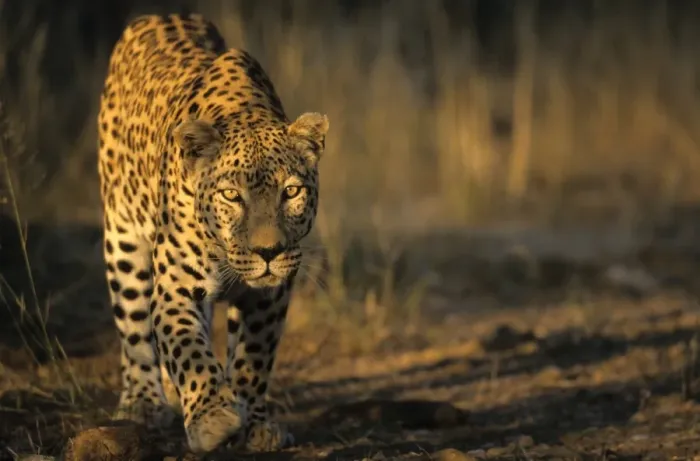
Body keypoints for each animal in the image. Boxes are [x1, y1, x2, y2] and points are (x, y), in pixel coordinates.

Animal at [97, 13, 329, 454]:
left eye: (291, 192)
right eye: (231, 195)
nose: (269, 252)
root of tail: (156, 15)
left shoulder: (270, 295)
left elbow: (254, 357)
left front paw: (255, 423)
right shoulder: (175, 285)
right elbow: (186, 348)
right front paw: (213, 418)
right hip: (122, 237)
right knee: (134, 328)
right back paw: (143, 402)